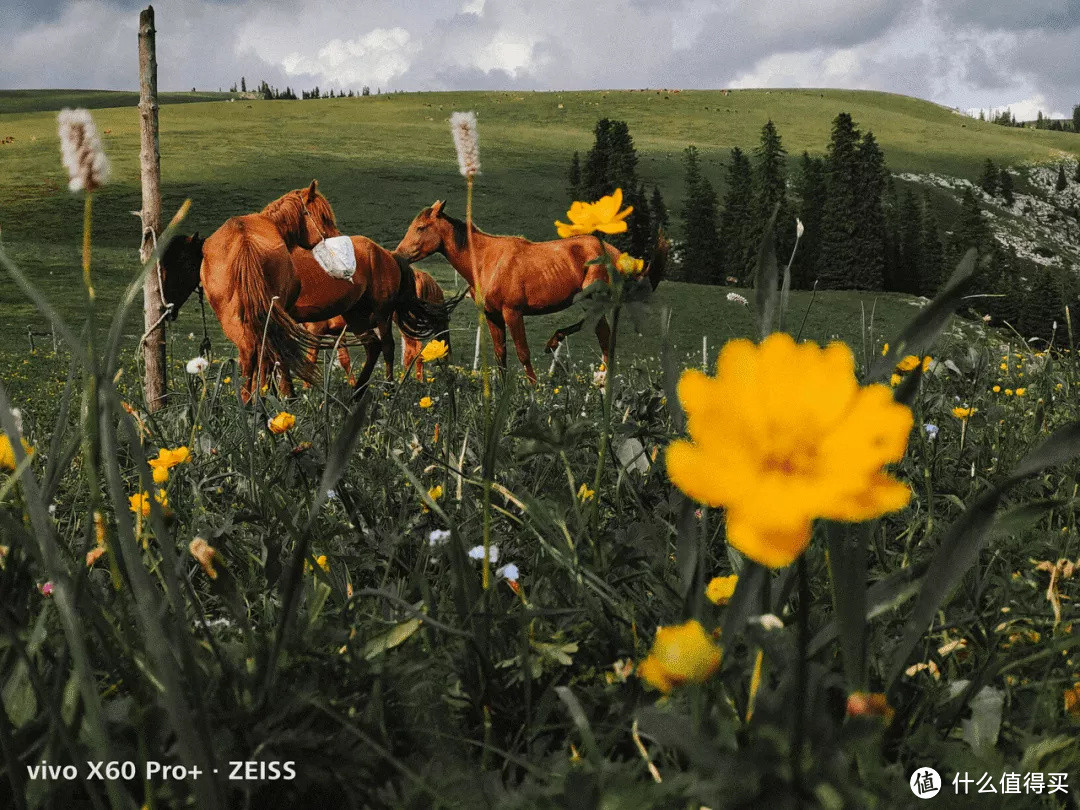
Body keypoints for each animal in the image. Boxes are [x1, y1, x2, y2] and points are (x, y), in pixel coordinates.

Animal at [397, 201, 665, 382]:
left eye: (420, 227)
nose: (399, 254)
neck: (486, 260)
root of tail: (616, 255)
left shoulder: (513, 312)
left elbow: (523, 353)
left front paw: (533, 389)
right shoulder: (493, 316)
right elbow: (500, 355)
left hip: (592, 299)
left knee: (601, 336)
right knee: (600, 336)